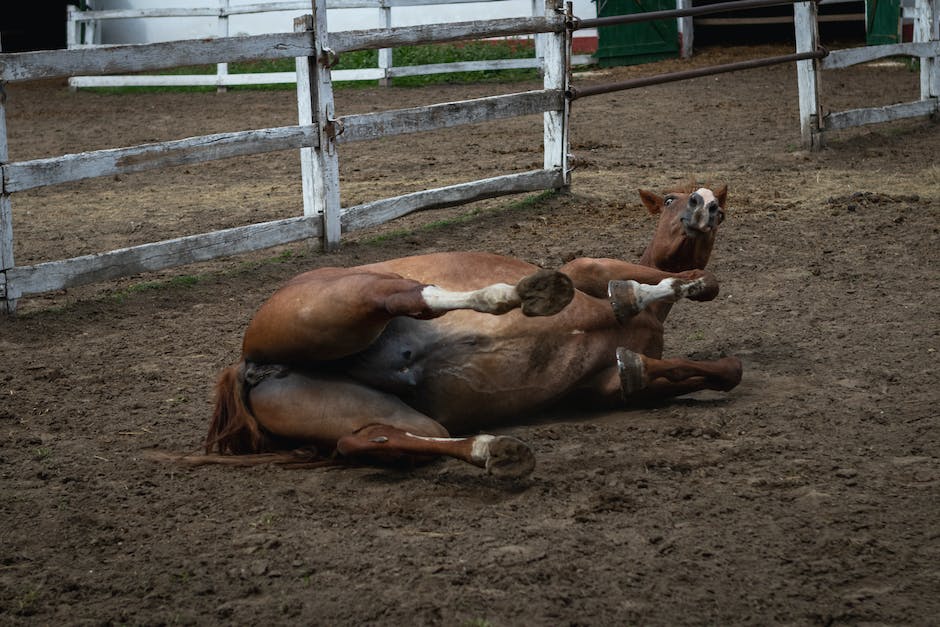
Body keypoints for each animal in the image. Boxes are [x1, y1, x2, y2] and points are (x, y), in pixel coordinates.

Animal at [204, 184, 740, 478]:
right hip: (357, 295)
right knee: (409, 299)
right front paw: (644, 294)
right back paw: (529, 293)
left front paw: (648, 359)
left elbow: (705, 371)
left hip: (382, 413)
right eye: (670, 198)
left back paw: (495, 452)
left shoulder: (602, 387)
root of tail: (250, 366)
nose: (706, 204)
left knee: (369, 440)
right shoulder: (588, 268)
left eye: (711, 200)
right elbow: (657, 284)